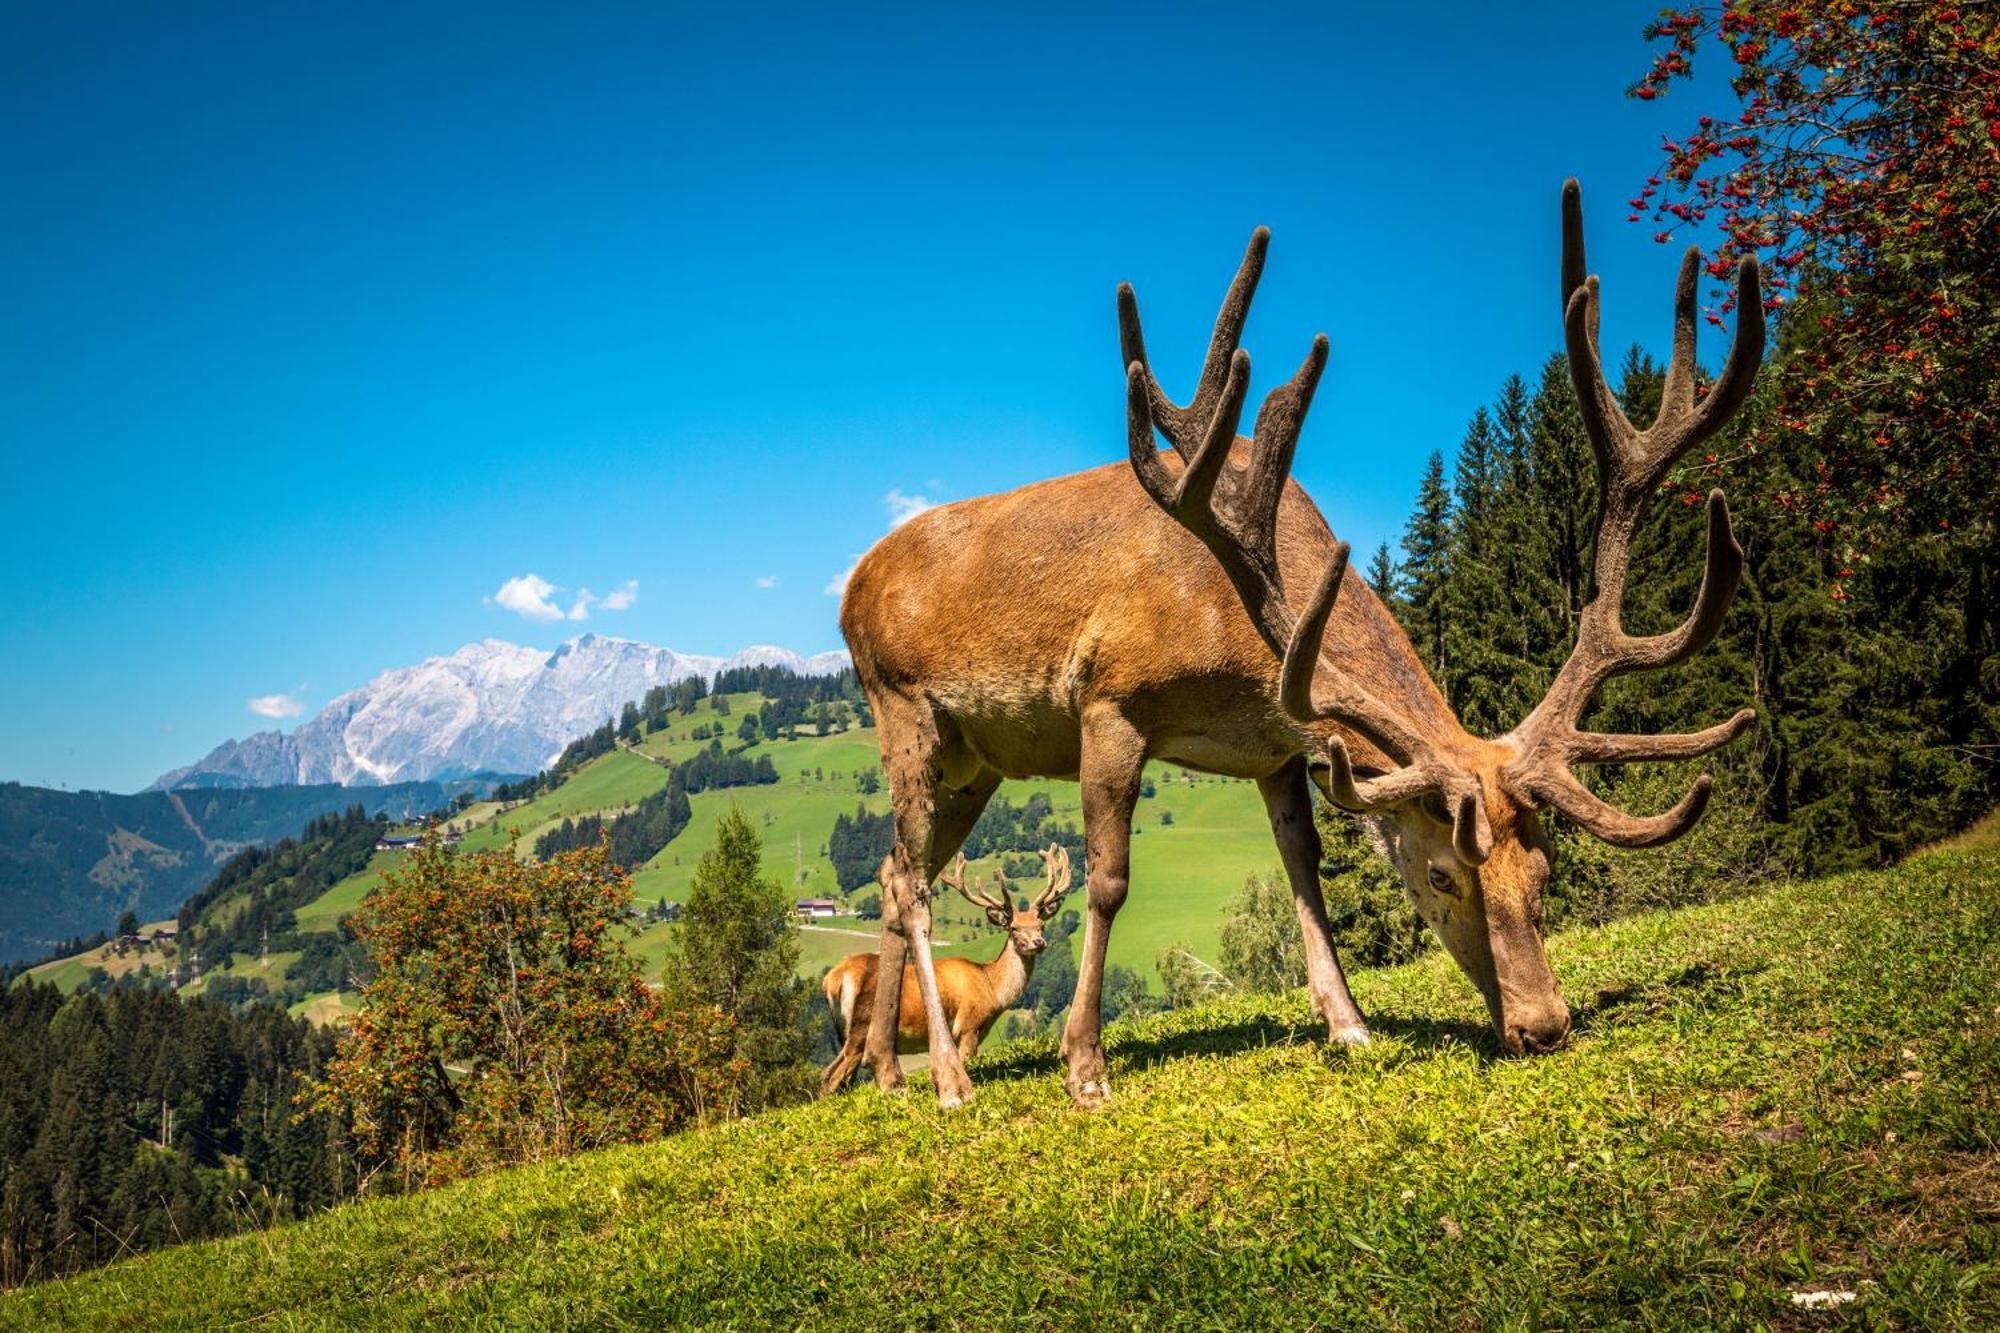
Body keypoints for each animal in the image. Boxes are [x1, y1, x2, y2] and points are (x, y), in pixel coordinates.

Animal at [824, 844, 1080, 1096]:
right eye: (1014, 928)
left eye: (1041, 925)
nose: (1039, 942)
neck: (991, 989)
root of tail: (833, 979)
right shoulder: (968, 1025)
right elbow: (965, 1063)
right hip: (860, 1026)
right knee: (831, 1075)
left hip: (842, 1031)